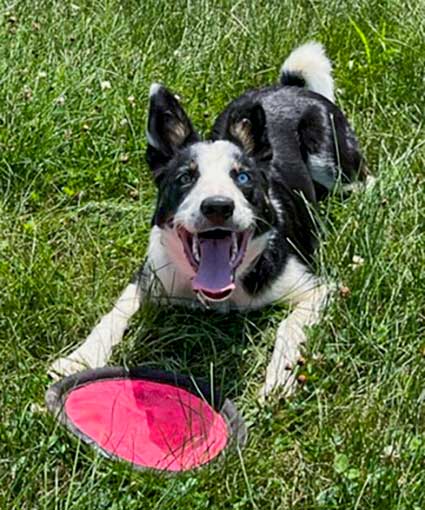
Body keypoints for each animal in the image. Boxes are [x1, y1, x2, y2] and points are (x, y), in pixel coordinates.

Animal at [49, 41, 366, 396]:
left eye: (242, 177)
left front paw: (278, 380)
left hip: (331, 160)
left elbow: (290, 326)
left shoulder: (316, 289)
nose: (217, 206)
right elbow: (115, 312)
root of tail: (290, 86)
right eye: (186, 178)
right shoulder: (150, 276)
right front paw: (80, 357)